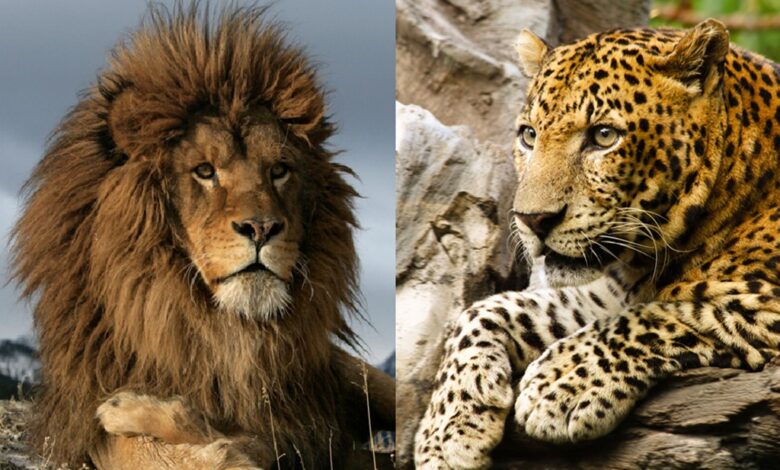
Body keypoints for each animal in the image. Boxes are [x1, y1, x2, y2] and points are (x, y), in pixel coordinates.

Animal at [10, 3, 394, 469]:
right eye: (205, 171)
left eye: (279, 170)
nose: (261, 227)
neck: (223, 333)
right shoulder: (86, 420)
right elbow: (150, 451)